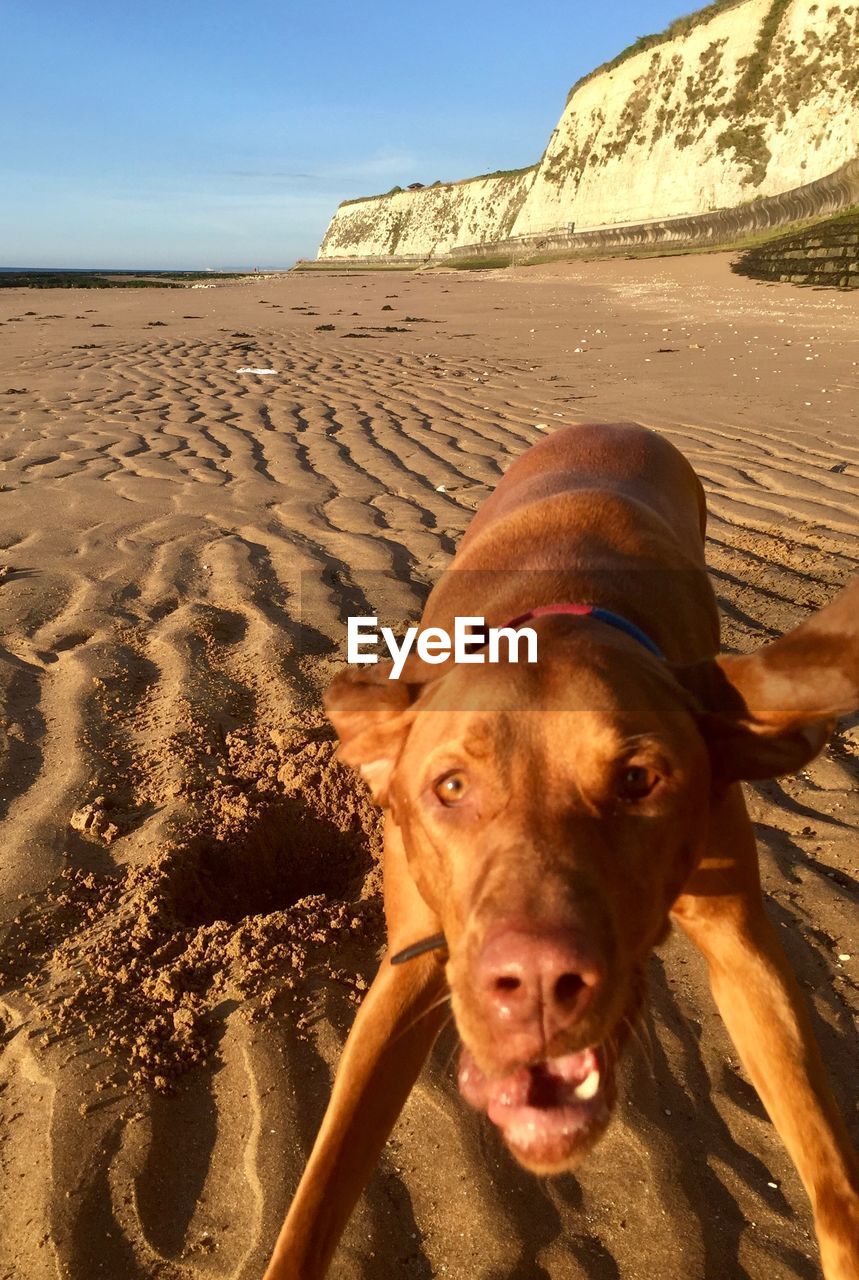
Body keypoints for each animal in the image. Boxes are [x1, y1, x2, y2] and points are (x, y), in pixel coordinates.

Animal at [264, 422, 855, 1280]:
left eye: (640, 780)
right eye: (450, 787)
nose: (538, 986)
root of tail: (614, 424)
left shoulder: (741, 949)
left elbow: (831, 1175)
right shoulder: (409, 965)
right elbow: (312, 1205)